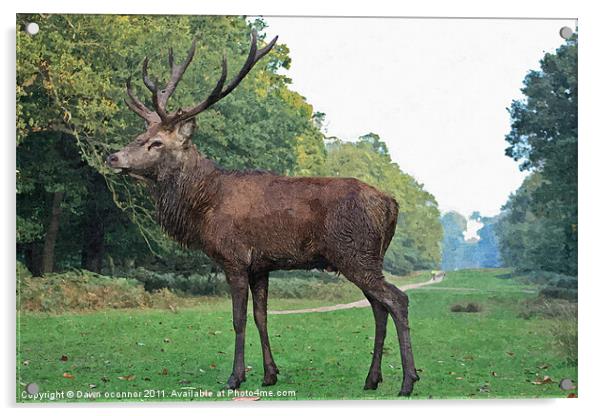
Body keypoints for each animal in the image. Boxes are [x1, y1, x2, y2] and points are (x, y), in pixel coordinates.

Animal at [106, 30, 418, 396]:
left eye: (155, 143)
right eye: (139, 134)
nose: (113, 157)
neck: (204, 206)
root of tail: (391, 204)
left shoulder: (235, 258)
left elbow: (238, 319)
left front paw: (235, 377)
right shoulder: (261, 265)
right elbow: (262, 316)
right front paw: (270, 374)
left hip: (355, 253)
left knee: (397, 300)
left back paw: (408, 381)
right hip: (368, 257)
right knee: (379, 308)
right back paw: (372, 379)